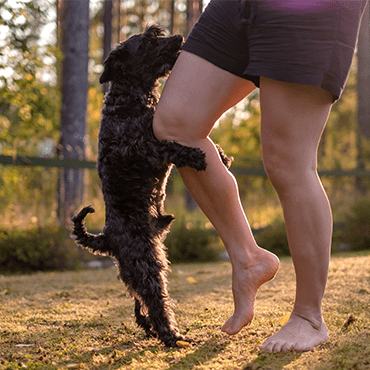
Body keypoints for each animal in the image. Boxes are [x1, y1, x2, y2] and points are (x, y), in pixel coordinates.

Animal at [70, 25, 230, 346]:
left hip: (137, 268)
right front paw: (197, 156)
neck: (129, 99)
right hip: (146, 264)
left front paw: (221, 155)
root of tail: (106, 237)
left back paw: (151, 330)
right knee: (155, 301)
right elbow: (171, 147)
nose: (179, 38)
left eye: (156, 33)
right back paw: (171, 336)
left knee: (139, 304)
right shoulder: (142, 149)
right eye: (146, 41)